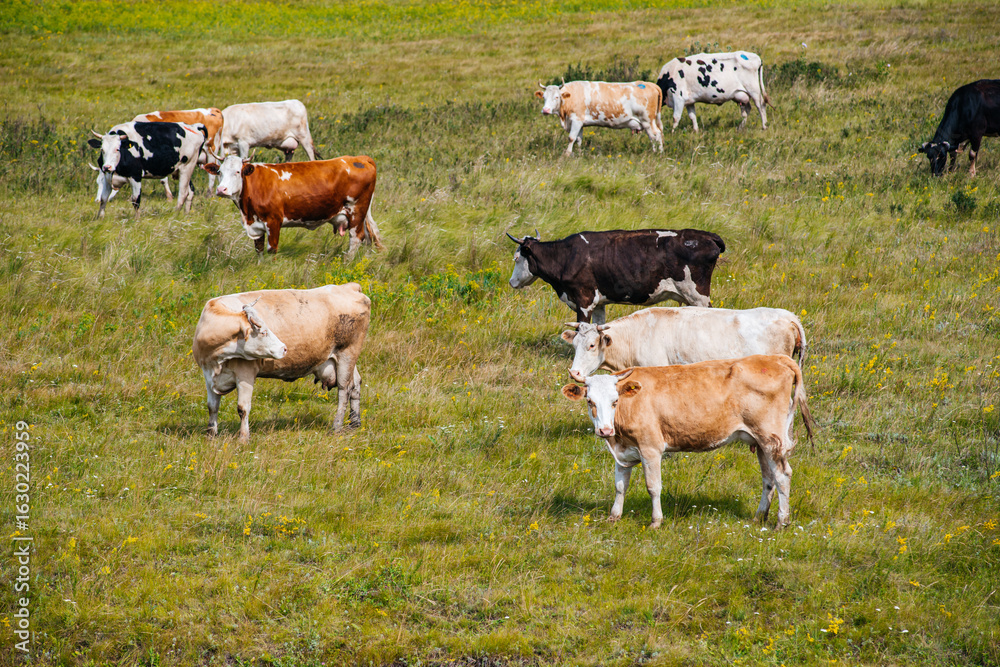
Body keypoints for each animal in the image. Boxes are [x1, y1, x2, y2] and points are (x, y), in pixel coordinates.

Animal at [192, 283, 371, 442]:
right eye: (263, 332)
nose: (284, 348)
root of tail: (349, 287)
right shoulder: (208, 376)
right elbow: (212, 406)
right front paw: (211, 436)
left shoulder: (245, 373)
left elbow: (243, 408)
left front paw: (243, 438)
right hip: (344, 359)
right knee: (356, 383)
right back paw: (354, 423)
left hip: (347, 353)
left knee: (344, 389)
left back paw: (337, 426)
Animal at [203, 153, 383, 258]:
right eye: (219, 172)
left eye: (237, 172)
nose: (221, 190)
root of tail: (359, 158)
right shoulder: (257, 226)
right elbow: (259, 251)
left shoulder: (273, 221)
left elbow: (271, 250)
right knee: (368, 237)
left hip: (356, 210)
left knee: (356, 238)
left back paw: (347, 262)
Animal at [506, 229, 725, 324]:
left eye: (516, 258)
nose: (511, 282)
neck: (566, 257)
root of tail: (706, 235)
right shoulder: (598, 302)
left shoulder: (584, 299)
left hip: (698, 295)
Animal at [534, 80, 663, 156]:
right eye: (544, 97)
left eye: (556, 97)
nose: (545, 110)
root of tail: (651, 84)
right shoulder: (580, 123)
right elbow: (578, 139)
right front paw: (579, 153)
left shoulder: (576, 120)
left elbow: (571, 138)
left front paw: (567, 154)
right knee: (655, 136)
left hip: (647, 121)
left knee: (656, 135)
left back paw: (657, 153)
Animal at [561, 355, 816, 529]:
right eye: (590, 401)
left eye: (615, 401)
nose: (604, 430)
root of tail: (776, 358)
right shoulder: (623, 451)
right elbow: (620, 485)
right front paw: (614, 517)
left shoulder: (650, 448)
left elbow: (653, 486)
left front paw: (656, 521)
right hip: (760, 442)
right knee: (768, 479)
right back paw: (758, 517)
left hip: (771, 437)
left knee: (782, 475)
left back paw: (781, 522)